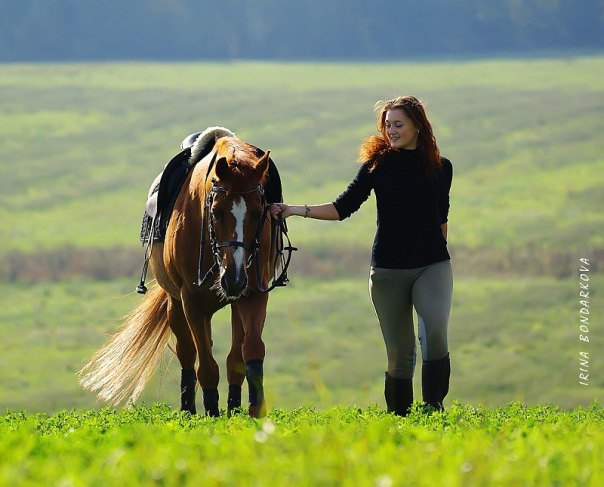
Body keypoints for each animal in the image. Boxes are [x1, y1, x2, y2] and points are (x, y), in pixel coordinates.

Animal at [79, 135, 276, 418]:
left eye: (260, 212)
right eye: (216, 211)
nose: (234, 278)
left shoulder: (253, 294)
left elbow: (250, 350)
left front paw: (252, 411)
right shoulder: (191, 301)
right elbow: (206, 365)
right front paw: (212, 414)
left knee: (230, 357)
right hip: (177, 305)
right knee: (188, 352)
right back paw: (189, 409)